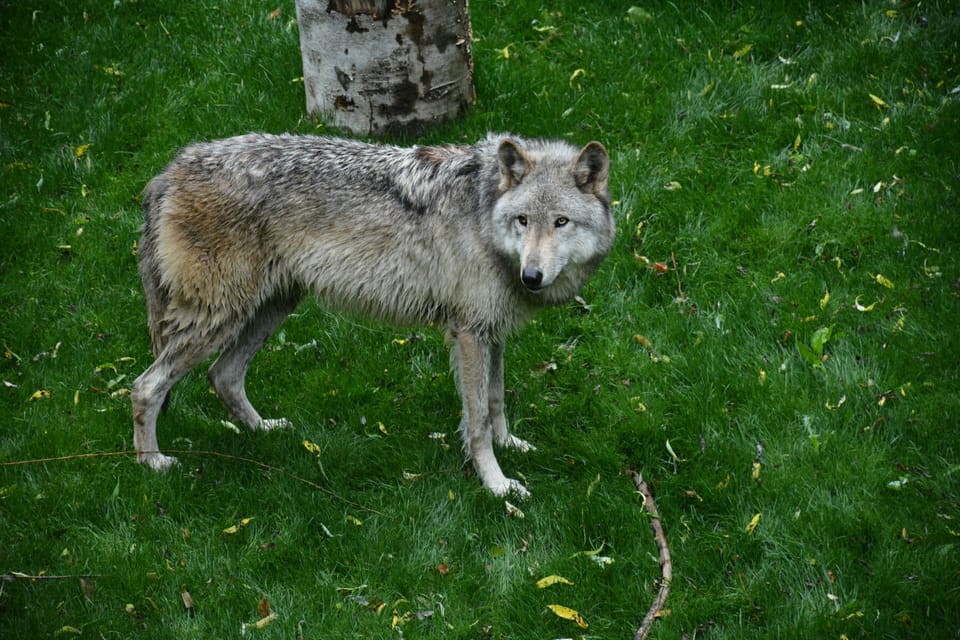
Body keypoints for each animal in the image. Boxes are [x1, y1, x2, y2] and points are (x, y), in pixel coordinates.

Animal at [131, 132, 614, 497]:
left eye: (561, 222)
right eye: (523, 220)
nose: (532, 276)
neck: (484, 210)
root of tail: (169, 170)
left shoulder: (491, 332)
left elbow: (495, 402)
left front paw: (510, 444)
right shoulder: (469, 333)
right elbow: (476, 420)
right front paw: (497, 484)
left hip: (271, 308)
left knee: (224, 376)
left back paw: (265, 429)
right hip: (219, 318)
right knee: (144, 387)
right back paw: (152, 463)